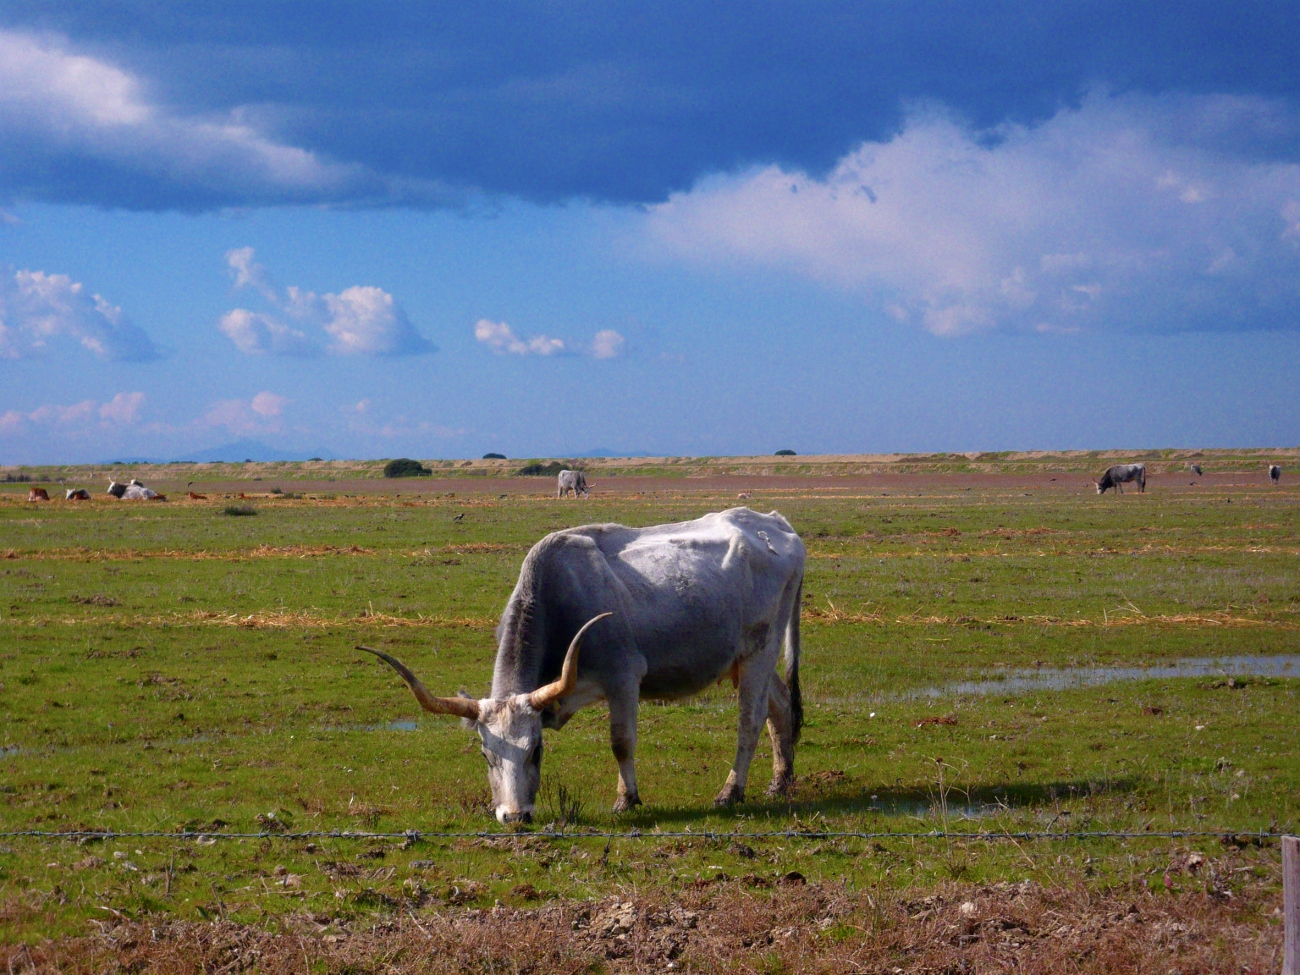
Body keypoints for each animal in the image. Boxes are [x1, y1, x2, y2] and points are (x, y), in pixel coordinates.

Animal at [356, 512, 800, 826]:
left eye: (536, 750)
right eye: (486, 755)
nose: (514, 817)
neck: (560, 595)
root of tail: (775, 524)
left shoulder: (624, 678)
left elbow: (621, 741)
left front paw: (626, 799)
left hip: (759, 652)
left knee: (750, 720)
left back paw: (730, 792)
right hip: (745, 661)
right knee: (780, 707)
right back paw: (780, 782)